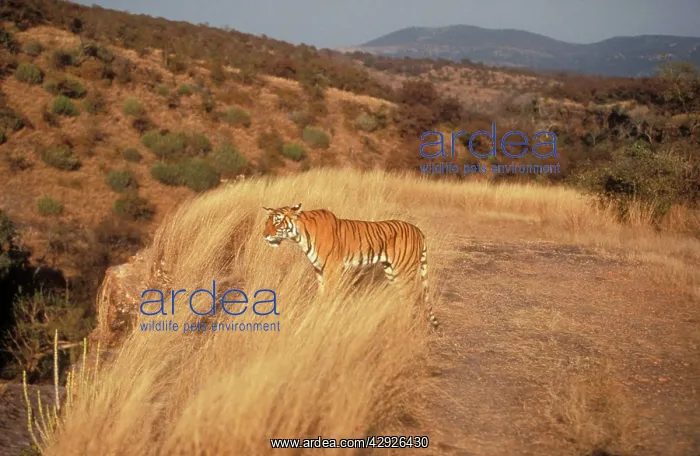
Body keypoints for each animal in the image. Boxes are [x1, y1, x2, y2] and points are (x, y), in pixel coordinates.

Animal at [262, 203, 438, 328]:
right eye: (266, 222)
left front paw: (325, 318)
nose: (264, 235)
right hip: (391, 271)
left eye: (278, 221)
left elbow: (329, 295)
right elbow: (321, 294)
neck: (300, 236)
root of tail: (419, 230)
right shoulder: (318, 269)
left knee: (411, 299)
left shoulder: (332, 269)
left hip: (404, 272)